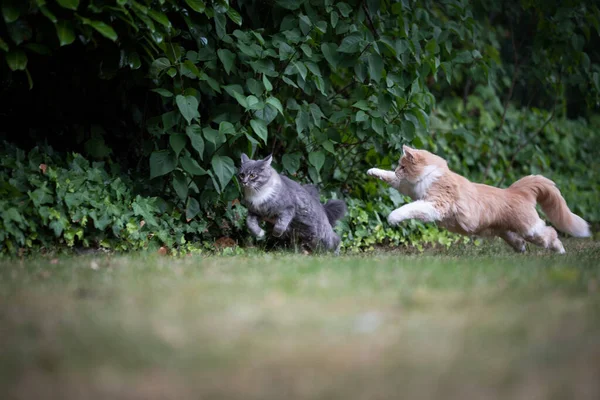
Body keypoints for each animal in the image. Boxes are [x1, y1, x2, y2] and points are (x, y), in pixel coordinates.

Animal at [366, 145, 592, 253]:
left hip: (531, 230)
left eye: (402, 165)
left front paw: (392, 217)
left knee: (551, 233)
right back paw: (521, 249)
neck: (433, 174)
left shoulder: (434, 205)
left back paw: (561, 251)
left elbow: (409, 208)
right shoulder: (410, 189)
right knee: (519, 240)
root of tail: (516, 191)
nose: (398, 169)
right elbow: (391, 180)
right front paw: (372, 171)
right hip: (506, 231)